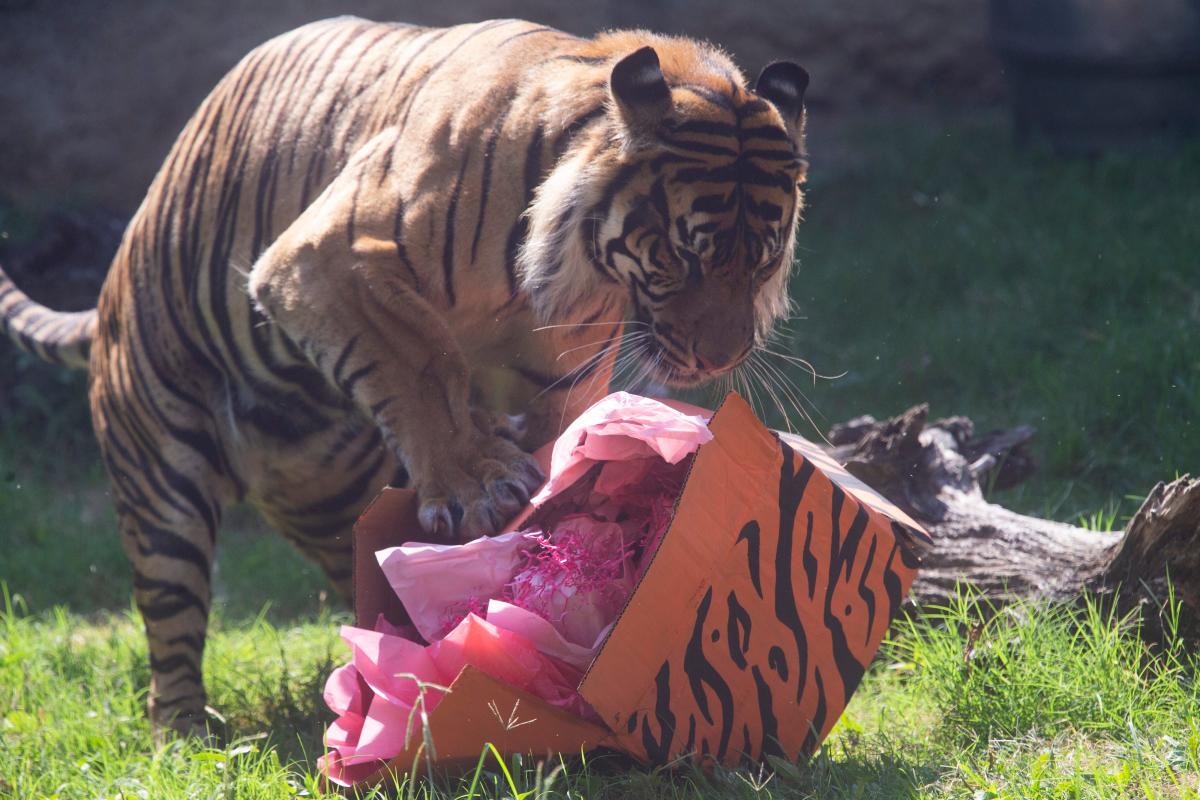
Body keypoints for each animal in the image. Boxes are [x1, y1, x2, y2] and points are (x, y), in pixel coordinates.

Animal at [0, 14, 811, 738]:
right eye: (684, 255)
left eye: (765, 259)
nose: (720, 357)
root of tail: (113, 277)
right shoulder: (327, 258)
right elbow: (423, 358)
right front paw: (481, 485)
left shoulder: (564, 361)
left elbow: (555, 431)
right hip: (161, 481)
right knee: (171, 632)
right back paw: (187, 736)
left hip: (331, 496)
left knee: (357, 570)